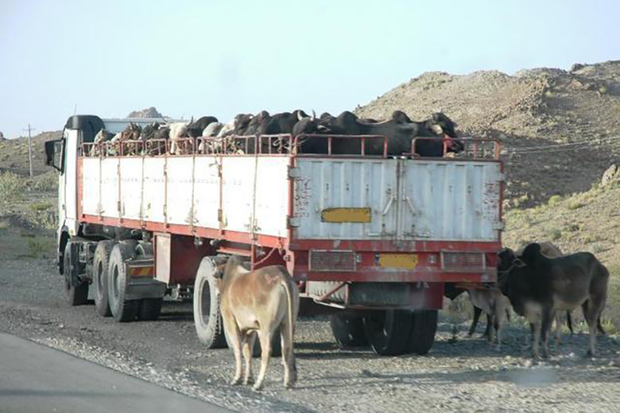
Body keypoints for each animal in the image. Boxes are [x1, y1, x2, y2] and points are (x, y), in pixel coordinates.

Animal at [218, 254, 300, 390]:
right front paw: (248, 378)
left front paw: (237, 378)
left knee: (267, 352)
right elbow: (247, 352)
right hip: (287, 324)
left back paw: (259, 383)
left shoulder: (230, 322)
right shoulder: (250, 330)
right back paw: (288, 382)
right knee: (286, 348)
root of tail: (281, 276)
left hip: (266, 328)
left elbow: (237, 350)